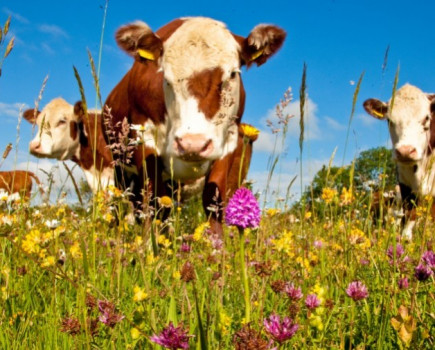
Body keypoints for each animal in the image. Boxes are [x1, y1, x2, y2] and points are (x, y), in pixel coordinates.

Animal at [103, 17, 284, 235]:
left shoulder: (228, 141)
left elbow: (214, 201)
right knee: (124, 201)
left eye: (232, 74)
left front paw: (217, 244)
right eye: (165, 78)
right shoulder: (143, 137)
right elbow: (153, 201)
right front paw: (150, 242)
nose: (193, 144)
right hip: (120, 166)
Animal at [364, 83, 435, 239]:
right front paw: (405, 239)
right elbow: (409, 216)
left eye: (426, 118)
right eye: (389, 120)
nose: (405, 151)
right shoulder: (405, 184)